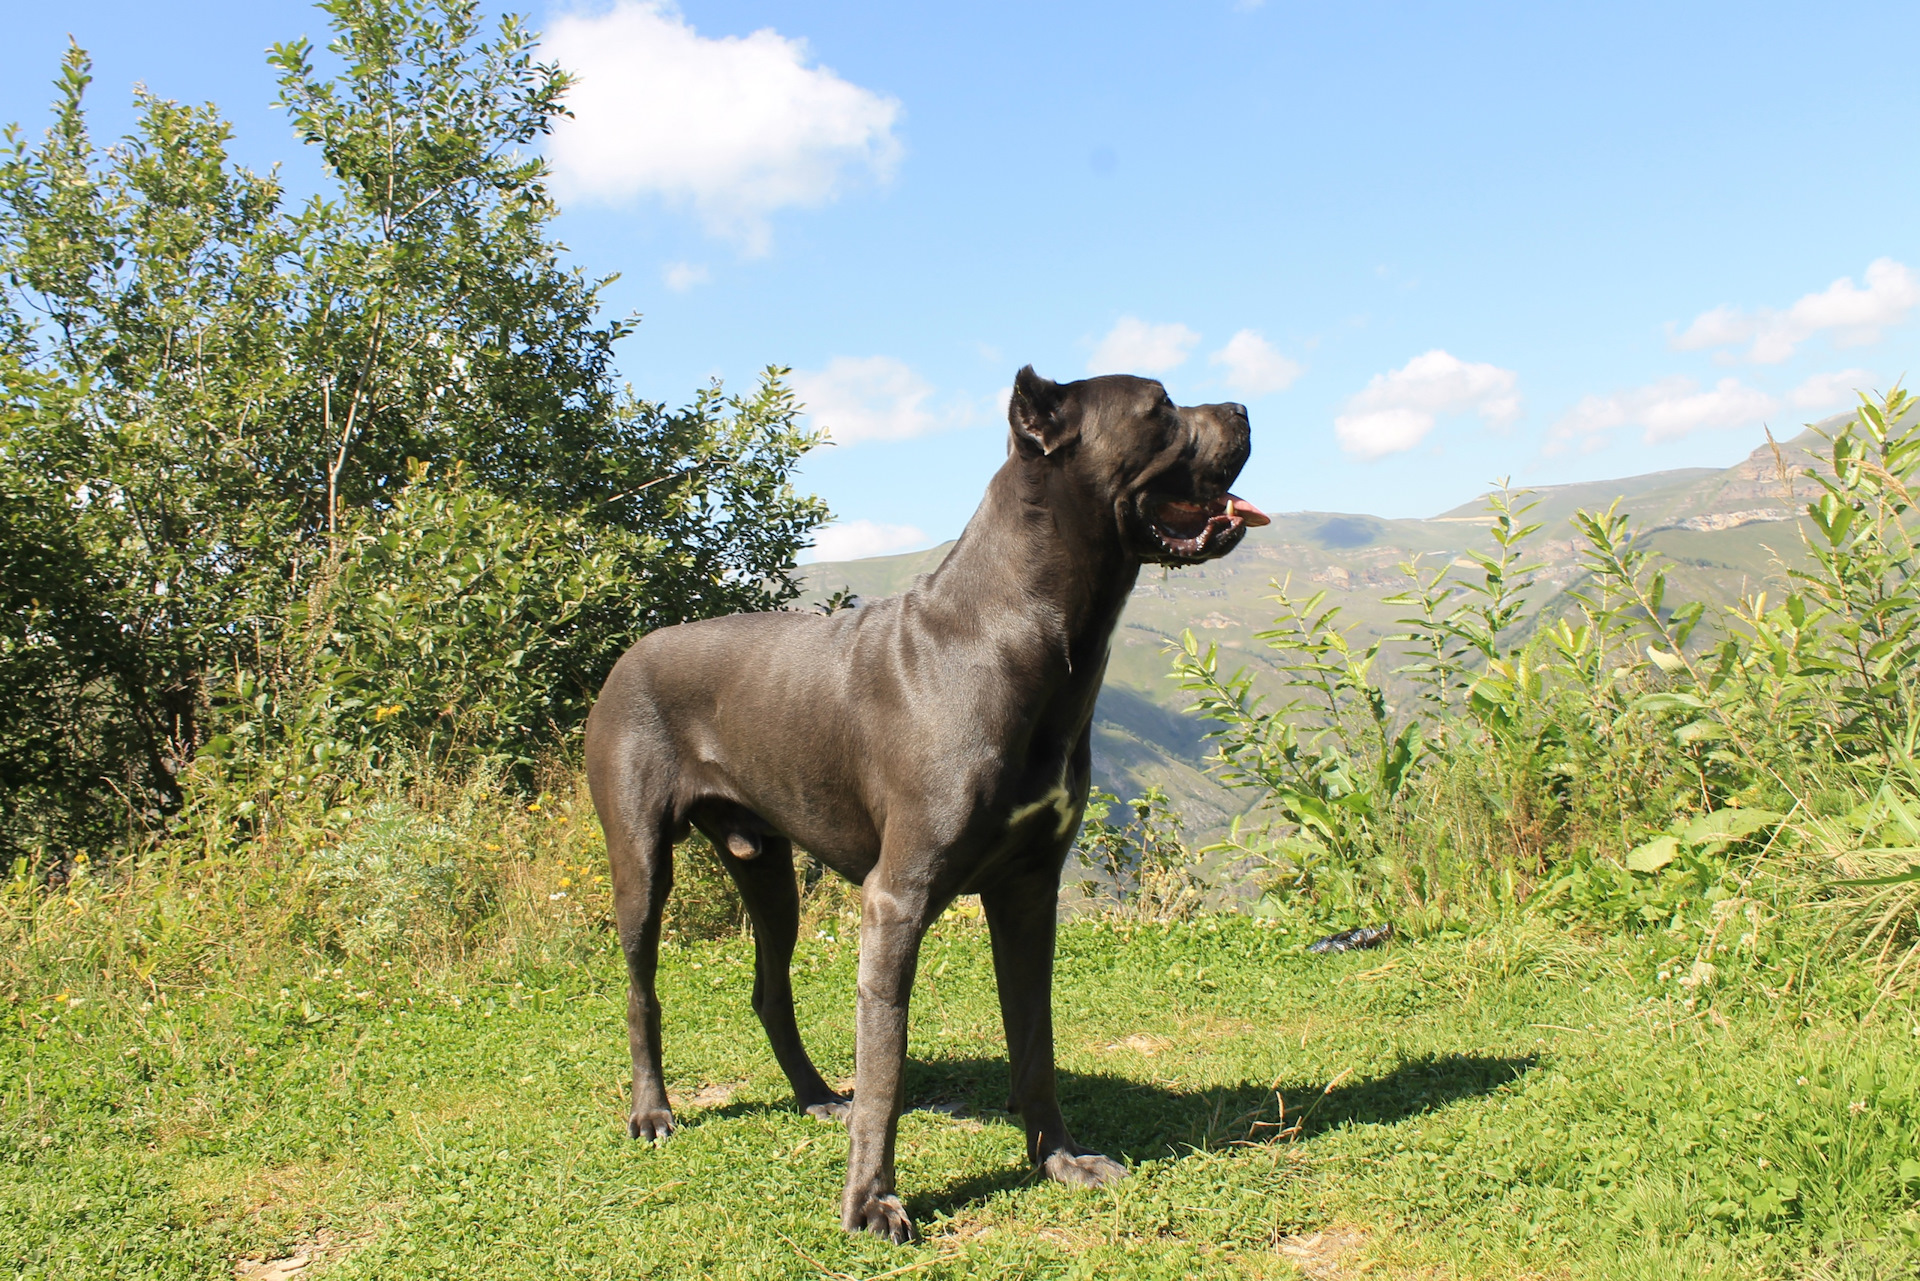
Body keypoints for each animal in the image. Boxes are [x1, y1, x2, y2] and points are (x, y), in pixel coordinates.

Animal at [587, 368, 1274, 1244]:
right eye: (1158, 407)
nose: (1245, 409)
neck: (1016, 630)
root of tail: (626, 655)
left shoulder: (1028, 890)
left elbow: (1035, 1038)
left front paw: (1061, 1158)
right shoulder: (898, 897)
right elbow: (886, 1061)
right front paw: (870, 1201)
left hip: (769, 869)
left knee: (770, 988)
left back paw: (817, 1095)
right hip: (641, 862)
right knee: (641, 989)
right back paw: (653, 1110)